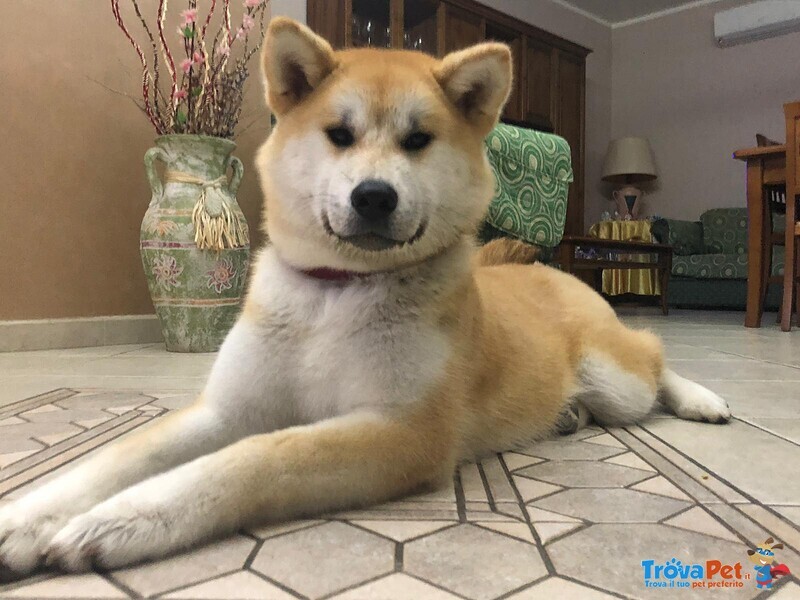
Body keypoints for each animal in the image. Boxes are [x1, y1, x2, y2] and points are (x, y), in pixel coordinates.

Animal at [0, 17, 732, 576]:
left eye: (417, 140)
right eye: (340, 134)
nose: (373, 196)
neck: (337, 292)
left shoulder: (402, 432)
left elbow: (260, 457)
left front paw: (126, 517)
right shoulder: (228, 408)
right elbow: (118, 457)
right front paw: (28, 516)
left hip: (616, 376)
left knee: (653, 355)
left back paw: (701, 398)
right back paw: (570, 414)